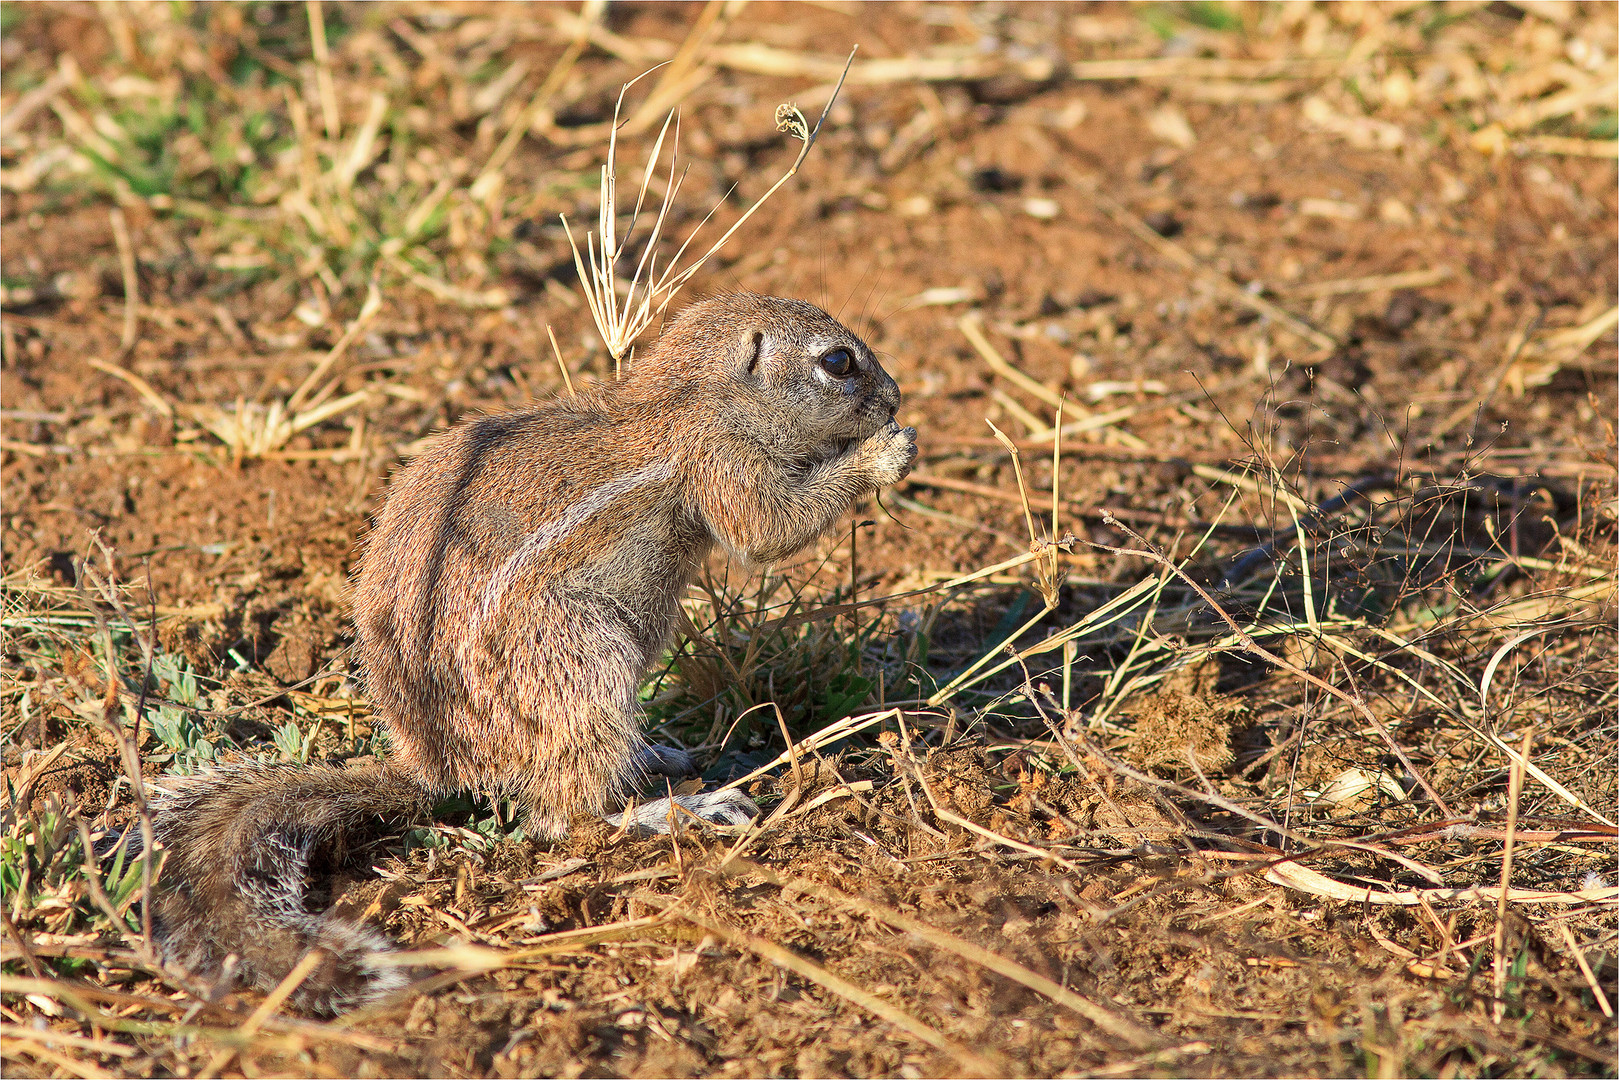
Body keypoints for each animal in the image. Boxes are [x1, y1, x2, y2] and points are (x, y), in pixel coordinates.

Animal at [152, 293, 926, 1016]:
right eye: (838, 362)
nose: (895, 397)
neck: (694, 397)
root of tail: (436, 766)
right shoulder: (723, 463)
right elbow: (769, 528)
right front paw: (884, 452)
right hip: (580, 659)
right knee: (566, 818)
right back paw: (676, 810)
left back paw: (657, 756)